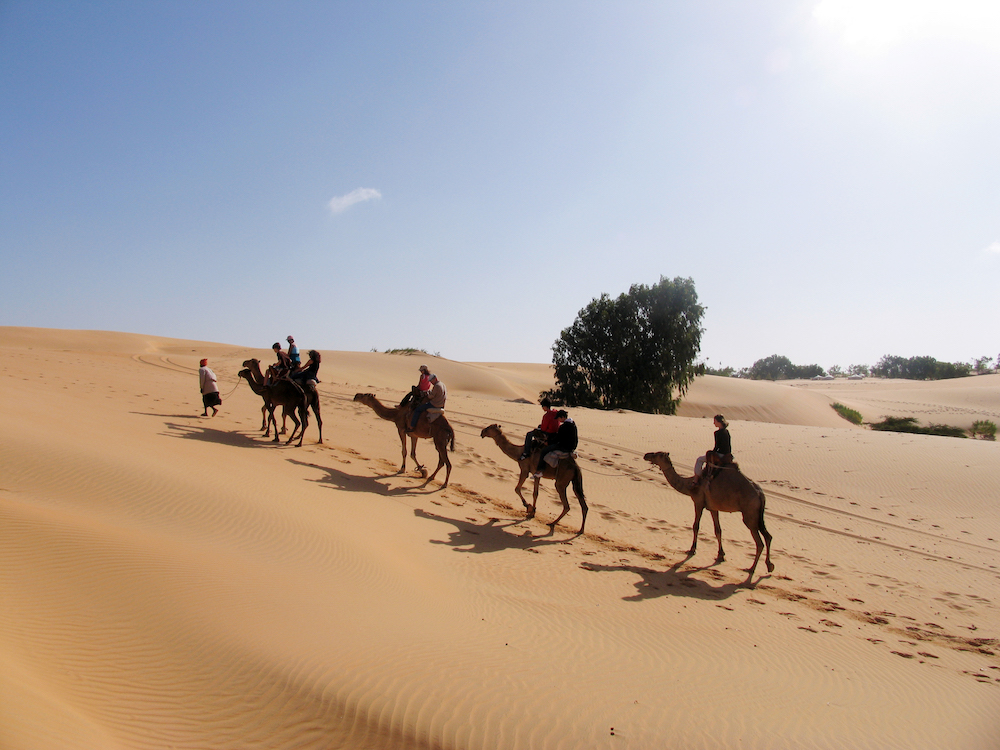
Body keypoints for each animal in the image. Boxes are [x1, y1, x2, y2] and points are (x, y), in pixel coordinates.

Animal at [644, 452, 776, 580]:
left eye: (657, 454)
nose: (646, 455)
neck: (689, 484)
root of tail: (760, 495)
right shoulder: (713, 508)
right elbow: (718, 530)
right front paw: (721, 555)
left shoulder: (698, 502)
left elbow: (696, 526)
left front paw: (692, 549)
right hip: (757, 515)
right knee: (768, 536)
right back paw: (769, 566)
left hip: (750, 514)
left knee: (759, 542)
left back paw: (751, 568)